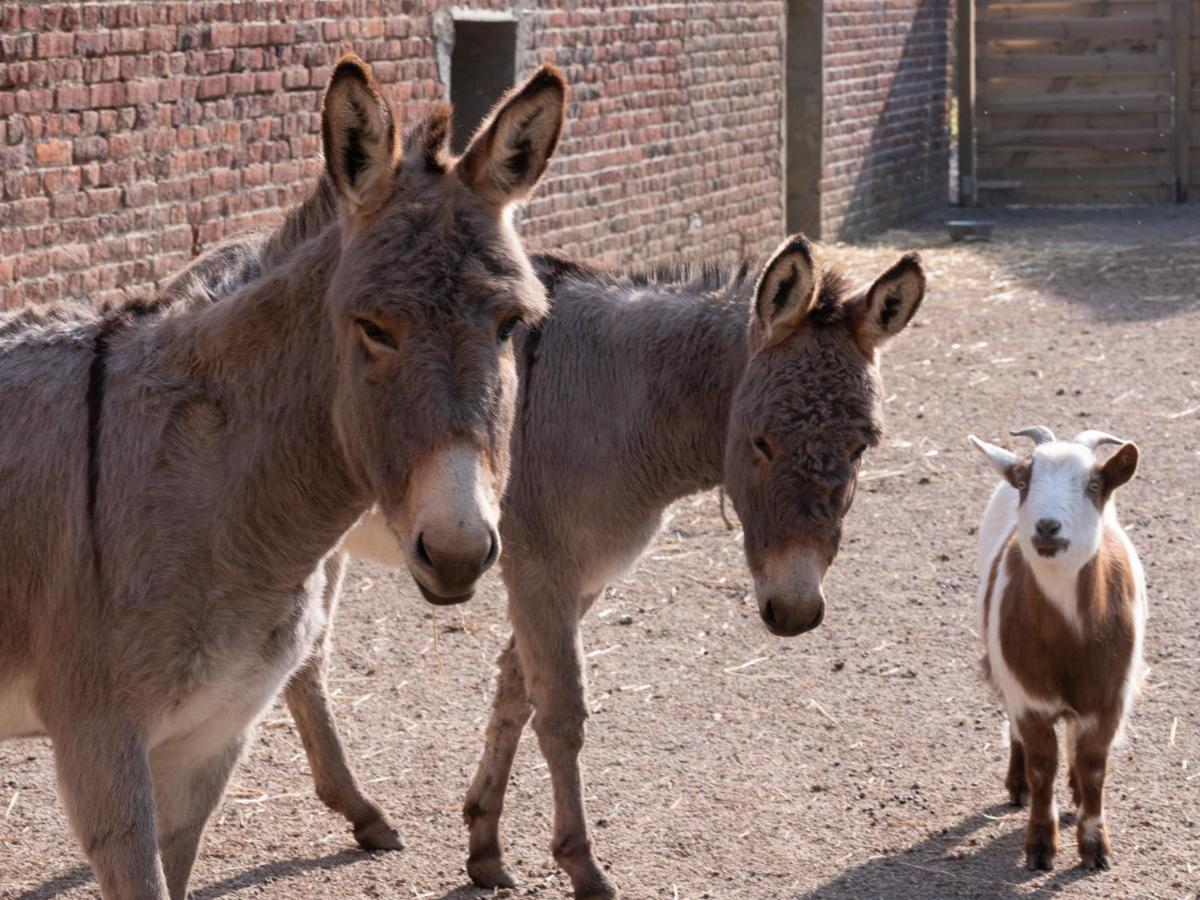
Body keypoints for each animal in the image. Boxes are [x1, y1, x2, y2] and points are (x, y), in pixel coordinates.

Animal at [964, 427, 1142, 873]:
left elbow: (1094, 767)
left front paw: (1095, 849)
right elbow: (1043, 767)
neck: (1068, 641)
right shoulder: (1029, 694)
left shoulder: (1108, 697)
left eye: (1094, 485)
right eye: (1027, 482)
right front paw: (1041, 847)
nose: (1047, 526)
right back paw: (1017, 785)